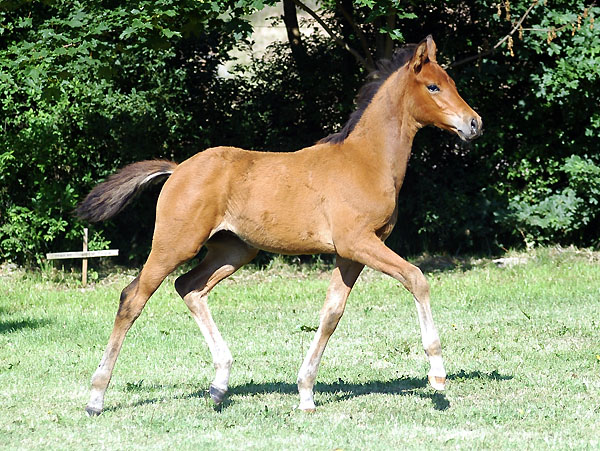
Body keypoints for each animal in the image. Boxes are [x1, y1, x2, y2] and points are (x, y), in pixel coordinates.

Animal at [77, 36, 480, 416]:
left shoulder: (351, 254)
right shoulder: (358, 242)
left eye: (451, 82)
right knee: (133, 297)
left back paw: (219, 384)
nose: (474, 123)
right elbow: (416, 278)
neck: (366, 160)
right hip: (175, 244)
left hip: (233, 250)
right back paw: (96, 397)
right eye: (433, 86)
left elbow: (331, 315)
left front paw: (306, 393)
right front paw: (437, 374)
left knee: (188, 286)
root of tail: (177, 170)